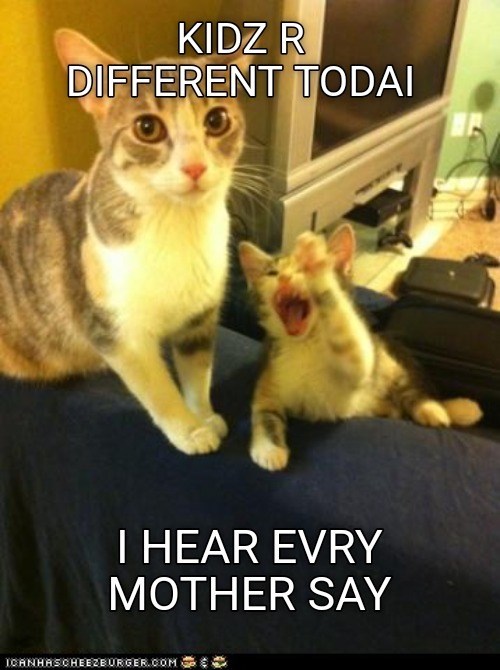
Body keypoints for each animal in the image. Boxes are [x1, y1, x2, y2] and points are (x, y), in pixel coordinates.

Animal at [0, 29, 251, 455]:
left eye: (217, 120)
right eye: (147, 128)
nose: (195, 166)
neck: (177, 227)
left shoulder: (199, 317)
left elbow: (197, 372)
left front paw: (203, 416)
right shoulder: (117, 331)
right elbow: (157, 390)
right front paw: (190, 431)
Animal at [239, 225, 483, 471]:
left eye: (301, 269)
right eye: (272, 273)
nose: (285, 278)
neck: (305, 343)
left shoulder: (359, 363)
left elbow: (346, 332)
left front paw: (317, 262)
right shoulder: (270, 375)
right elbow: (265, 412)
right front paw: (269, 450)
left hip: (388, 363)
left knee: (411, 388)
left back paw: (438, 409)